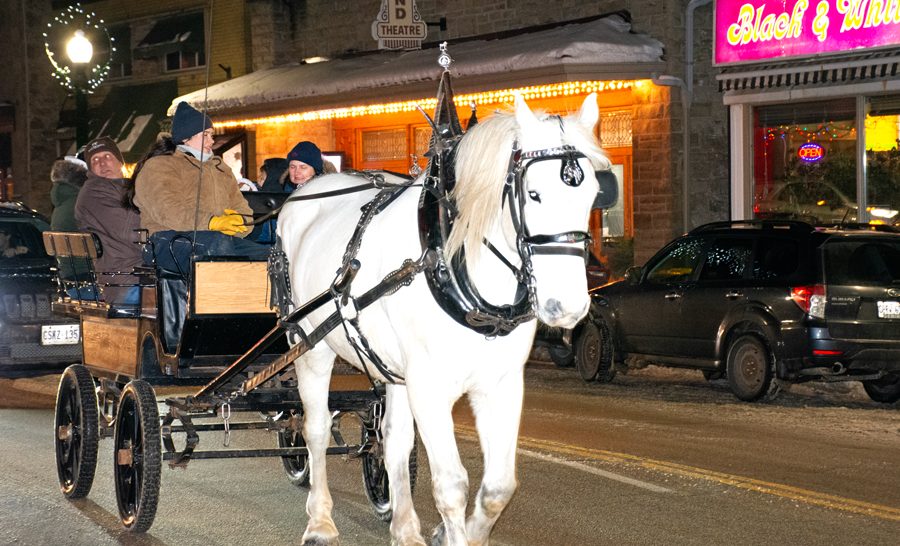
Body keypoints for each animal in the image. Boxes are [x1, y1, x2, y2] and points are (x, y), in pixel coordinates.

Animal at [277, 92, 609, 546]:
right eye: (534, 194)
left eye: (593, 194)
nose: (567, 307)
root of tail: (302, 194)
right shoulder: (429, 386)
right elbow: (451, 485)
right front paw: (450, 531)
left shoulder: (500, 383)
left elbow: (497, 487)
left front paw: (451, 532)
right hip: (310, 346)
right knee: (314, 429)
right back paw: (320, 520)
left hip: (393, 370)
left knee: (394, 440)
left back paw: (404, 527)